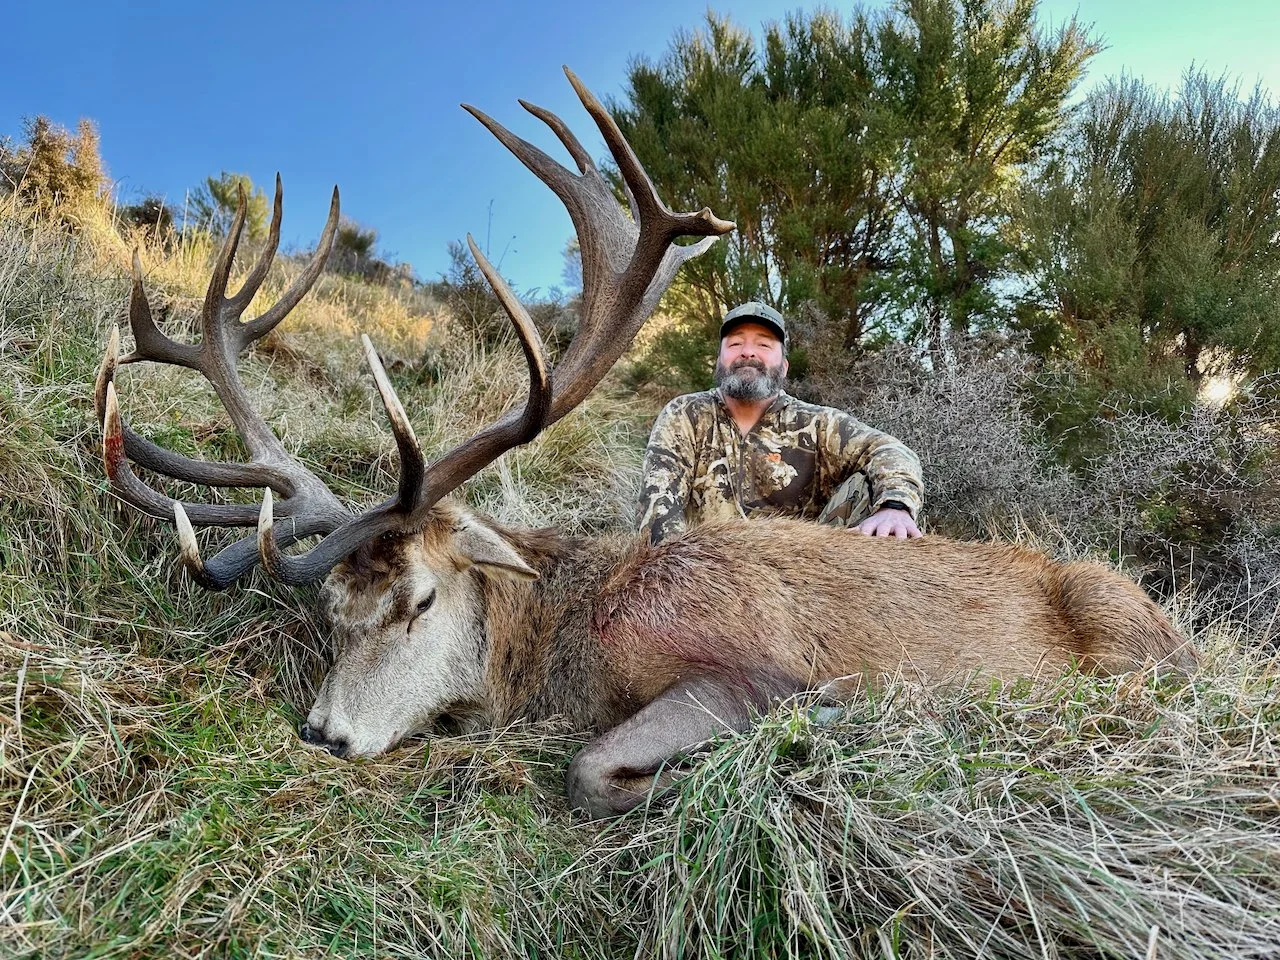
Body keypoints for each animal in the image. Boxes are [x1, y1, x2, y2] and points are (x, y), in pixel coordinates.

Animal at [96, 69, 1196, 819]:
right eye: (331, 609)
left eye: (420, 600)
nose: (325, 735)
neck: (572, 642)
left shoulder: (751, 667)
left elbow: (589, 768)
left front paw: (809, 739)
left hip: (1125, 626)